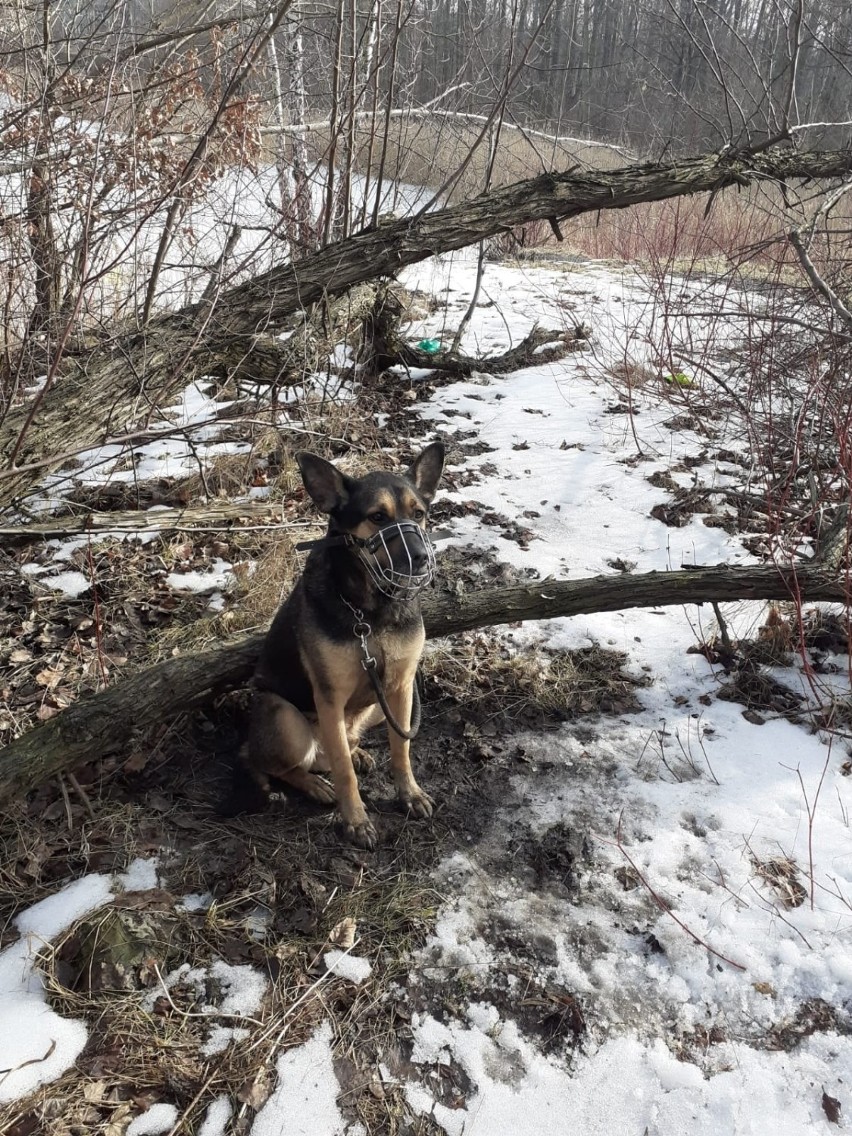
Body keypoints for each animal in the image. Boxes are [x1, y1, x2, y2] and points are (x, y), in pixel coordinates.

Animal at [235, 438, 443, 849]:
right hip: (285, 718)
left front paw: (409, 794)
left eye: (419, 514)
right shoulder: (329, 697)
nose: (422, 559)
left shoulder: (399, 688)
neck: (370, 612)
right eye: (377, 517)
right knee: (275, 761)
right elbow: (344, 772)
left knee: (343, 743)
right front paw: (355, 821)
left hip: (377, 707)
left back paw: (356, 752)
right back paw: (315, 784)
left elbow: (401, 749)